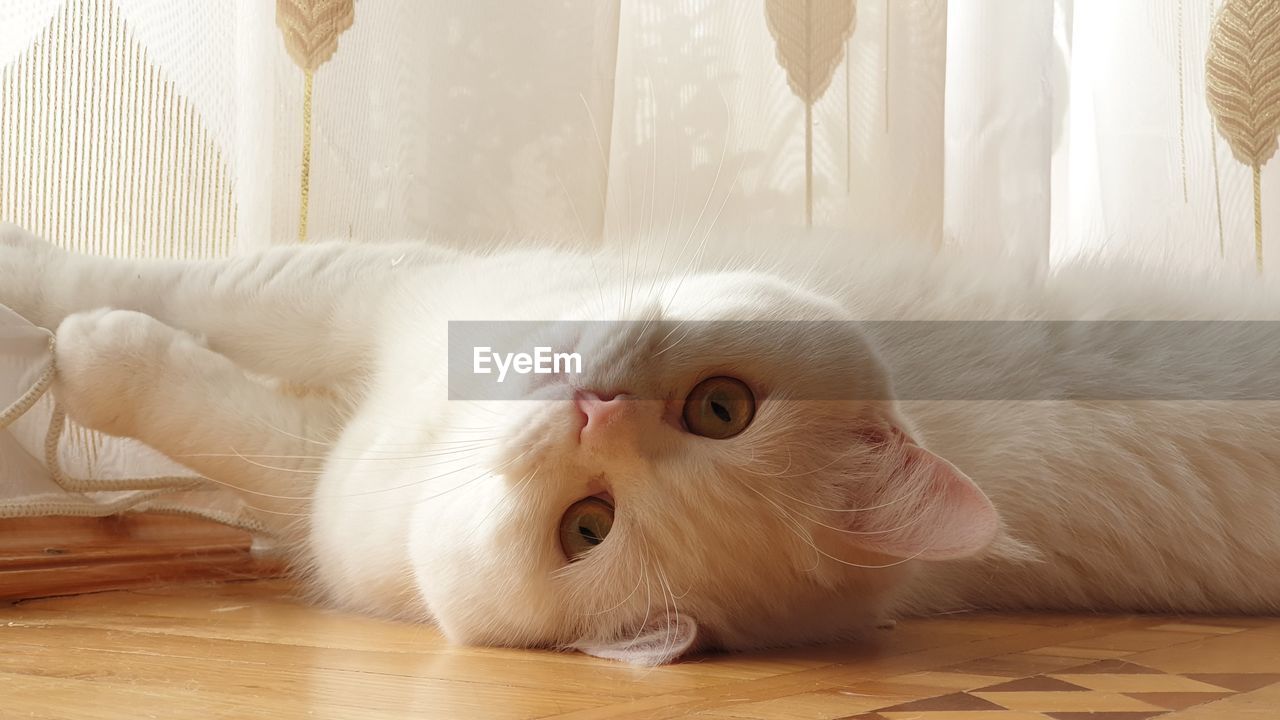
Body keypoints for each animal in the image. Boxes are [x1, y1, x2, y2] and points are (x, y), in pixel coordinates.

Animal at [2, 221, 1280, 666]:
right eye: (724, 406)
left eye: (587, 526)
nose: (593, 408)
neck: (433, 419)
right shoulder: (386, 290)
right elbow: (207, 286)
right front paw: (42, 285)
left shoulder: (322, 462)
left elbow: (184, 372)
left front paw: (82, 347)